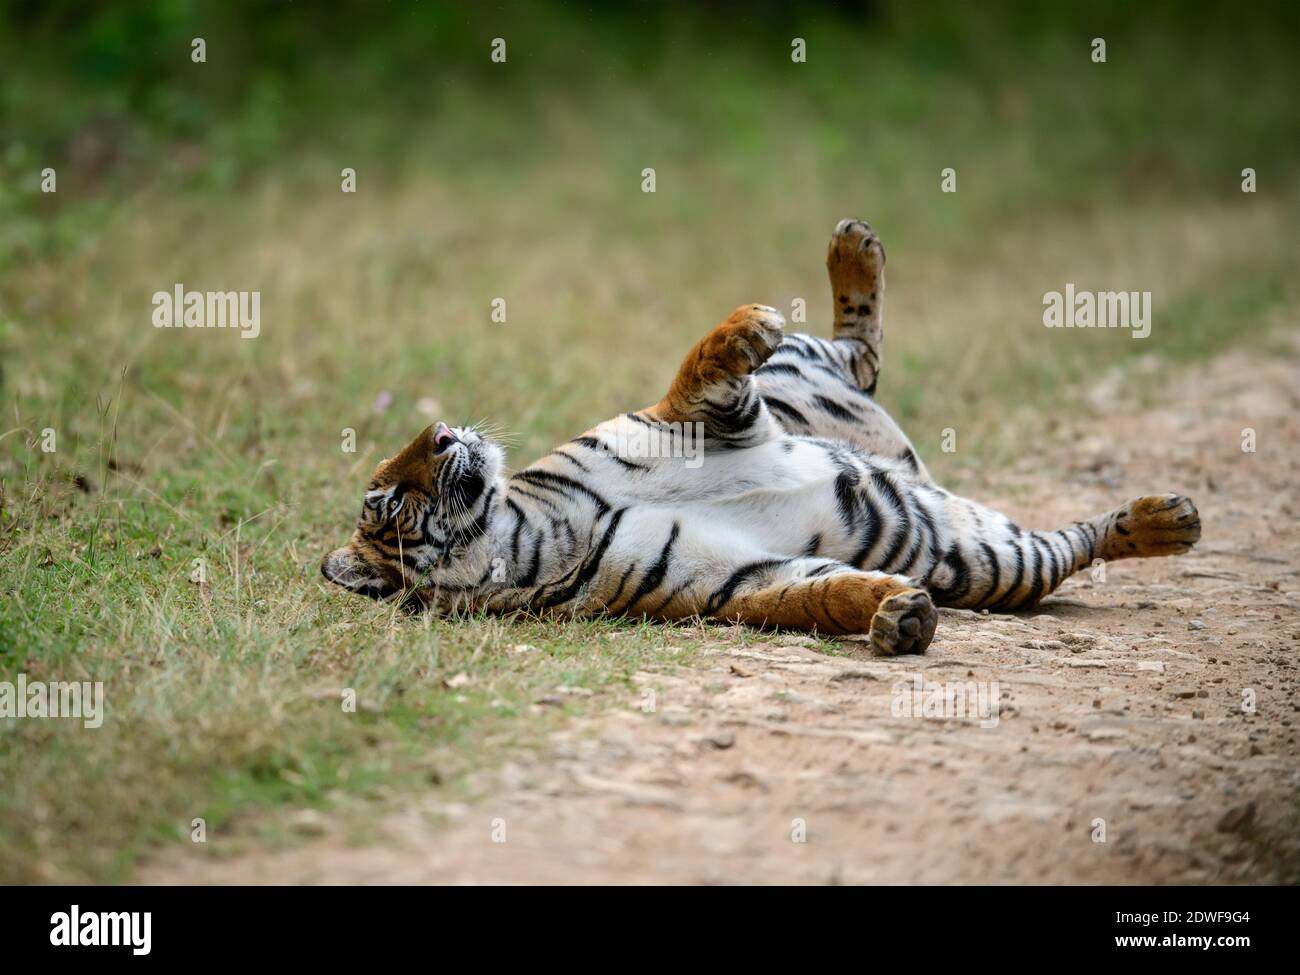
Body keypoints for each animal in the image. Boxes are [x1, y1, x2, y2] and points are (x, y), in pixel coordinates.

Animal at [321, 218, 1201, 656]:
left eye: (397, 472)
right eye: (388, 499)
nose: (440, 431)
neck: (532, 529)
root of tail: (903, 454)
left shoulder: (688, 419)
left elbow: (700, 365)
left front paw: (745, 322)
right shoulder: (733, 580)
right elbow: (816, 591)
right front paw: (893, 614)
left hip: (805, 377)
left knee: (855, 344)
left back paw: (851, 244)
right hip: (993, 561)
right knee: (1073, 540)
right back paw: (1169, 520)